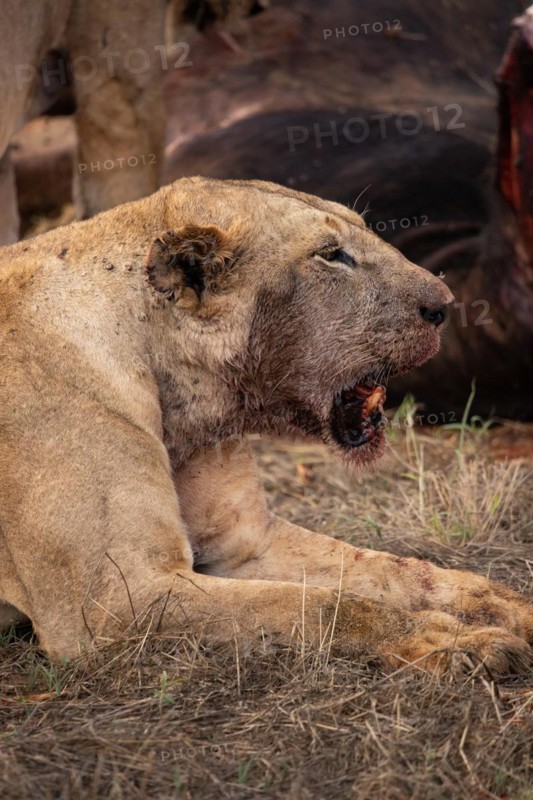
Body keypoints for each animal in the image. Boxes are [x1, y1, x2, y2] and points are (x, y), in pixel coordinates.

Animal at [0, 177, 531, 675]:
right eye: (332, 255)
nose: (445, 305)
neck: (184, 409)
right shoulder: (110, 599)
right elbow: (321, 606)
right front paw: (447, 640)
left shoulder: (248, 544)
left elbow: (399, 570)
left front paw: (506, 606)